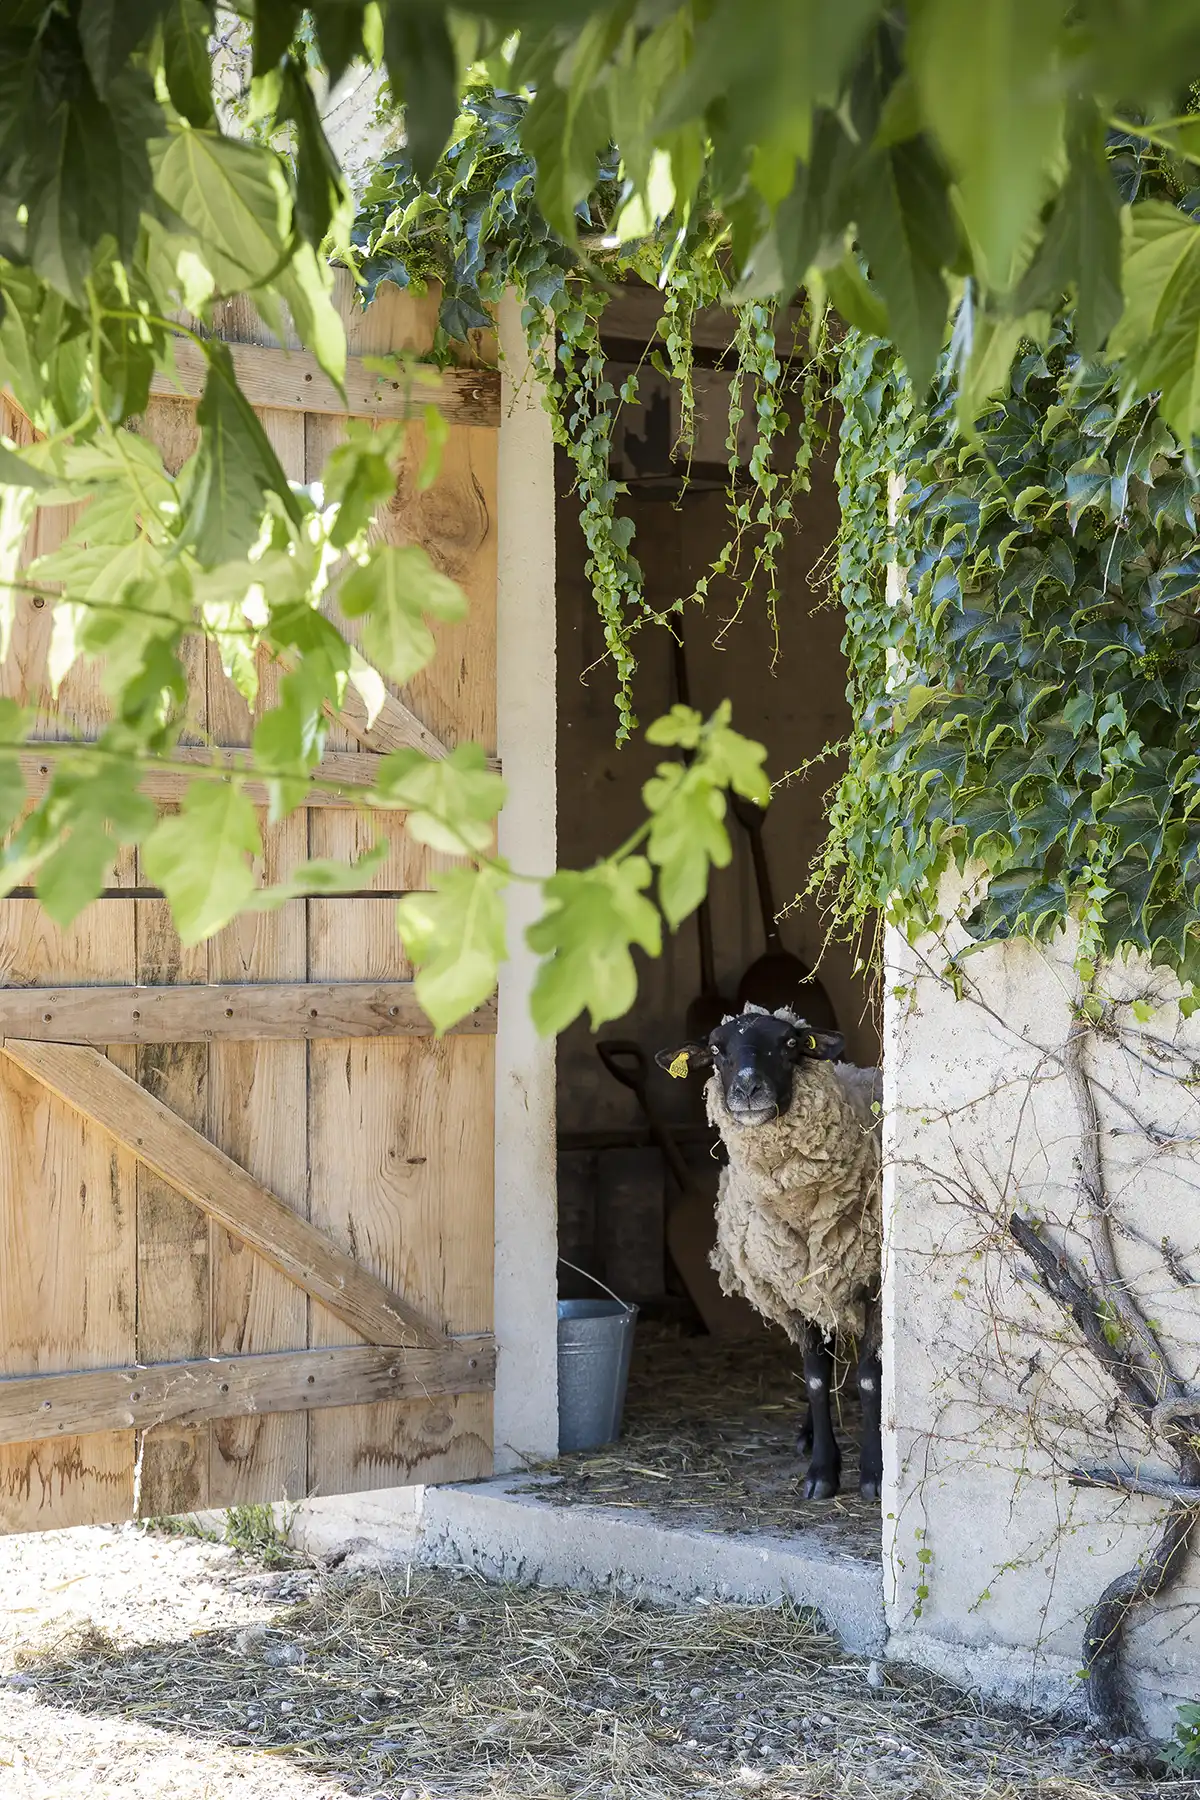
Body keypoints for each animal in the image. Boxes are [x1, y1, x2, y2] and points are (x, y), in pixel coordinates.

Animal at [656, 1003, 883, 1502]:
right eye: (716, 1050)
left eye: (790, 1044)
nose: (746, 1089)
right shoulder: (791, 1290)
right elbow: (816, 1380)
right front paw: (821, 1472)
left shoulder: (874, 1286)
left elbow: (869, 1378)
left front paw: (875, 1474)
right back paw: (807, 1434)